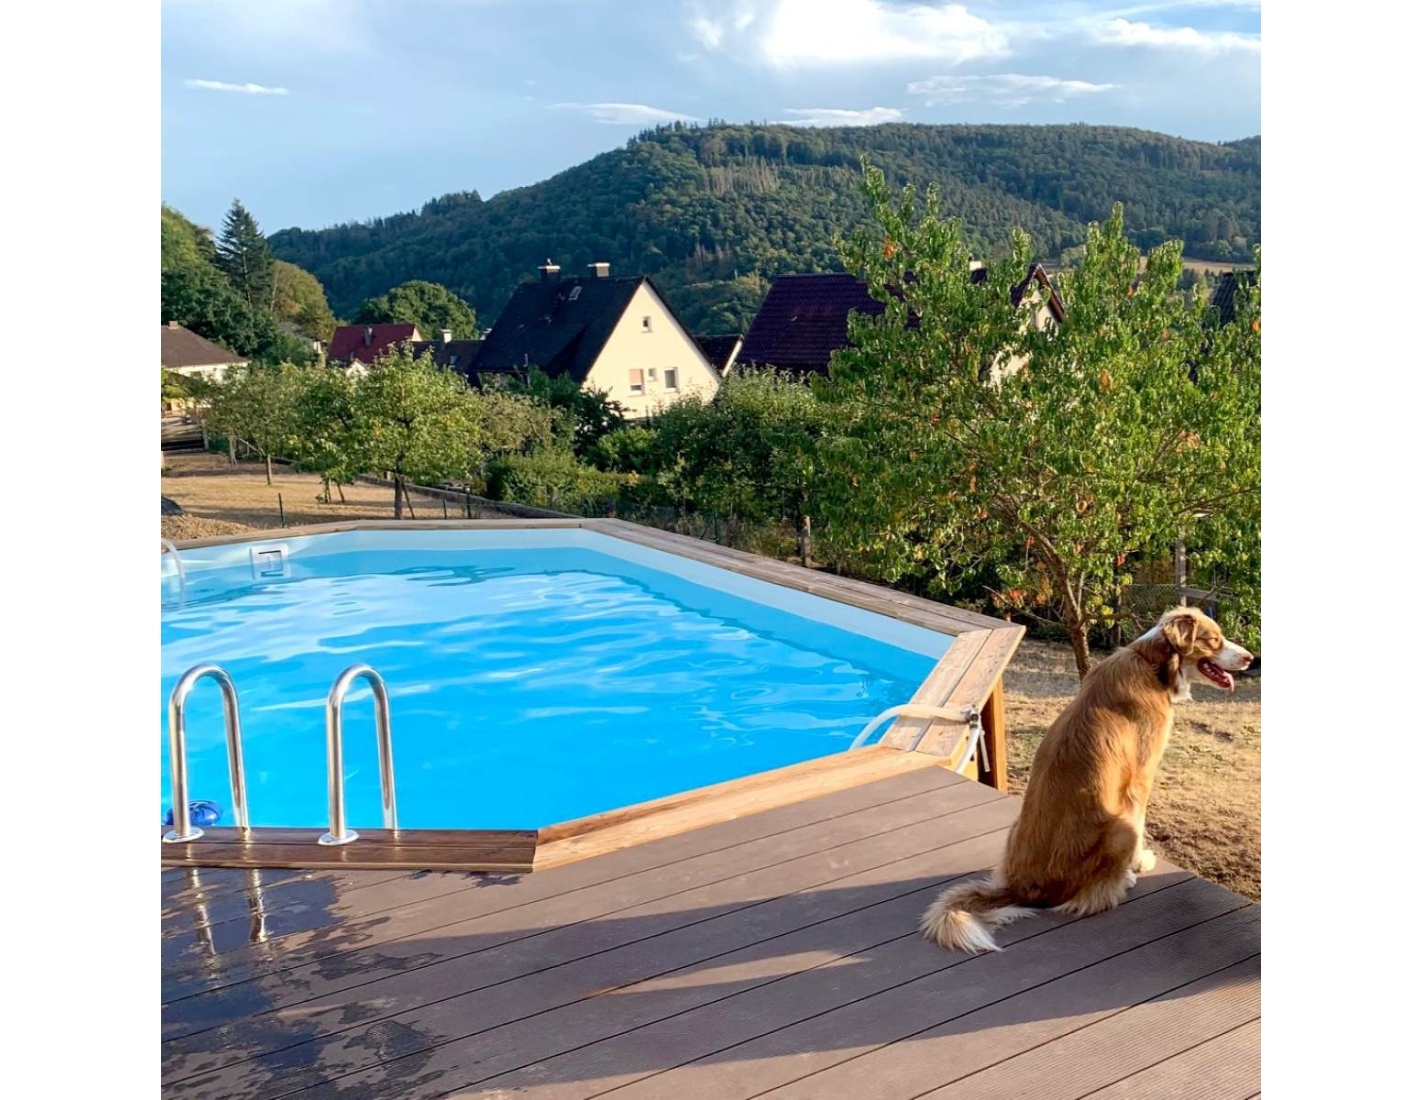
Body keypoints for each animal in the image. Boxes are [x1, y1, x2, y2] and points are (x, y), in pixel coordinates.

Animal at [920, 606, 1253, 953]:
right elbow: (1142, 824)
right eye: (1213, 639)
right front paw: (1139, 864)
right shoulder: (1141, 779)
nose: (1250, 658)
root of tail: (1023, 889)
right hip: (1119, 827)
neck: (1150, 662)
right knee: (1095, 895)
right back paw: (1123, 879)